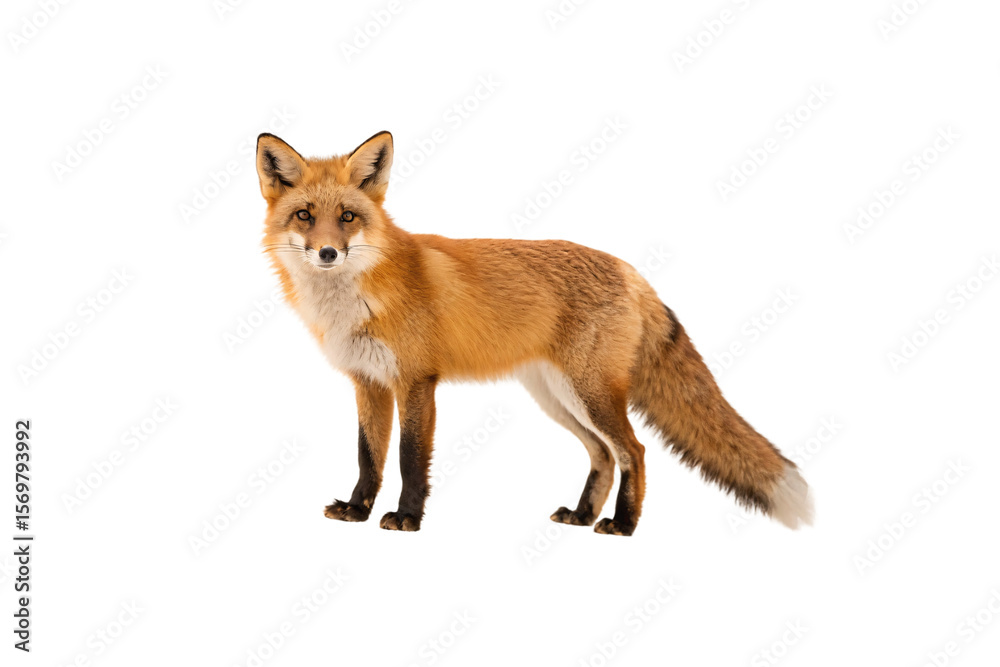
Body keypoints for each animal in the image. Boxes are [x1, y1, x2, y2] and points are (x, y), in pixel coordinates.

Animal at [255, 131, 814, 536]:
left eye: (348, 217)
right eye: (305, 215)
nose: (328, 253)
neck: (357, 299)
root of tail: (631, 271)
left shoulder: (416, 382)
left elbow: (411, 459)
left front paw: (408, 518)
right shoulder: (368, 382)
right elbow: (368, 456)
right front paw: (357, 510)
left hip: (590, 394)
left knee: (633, 451)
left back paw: (623, 524)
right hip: (557, 398)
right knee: (602, 455)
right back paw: (583, 516)